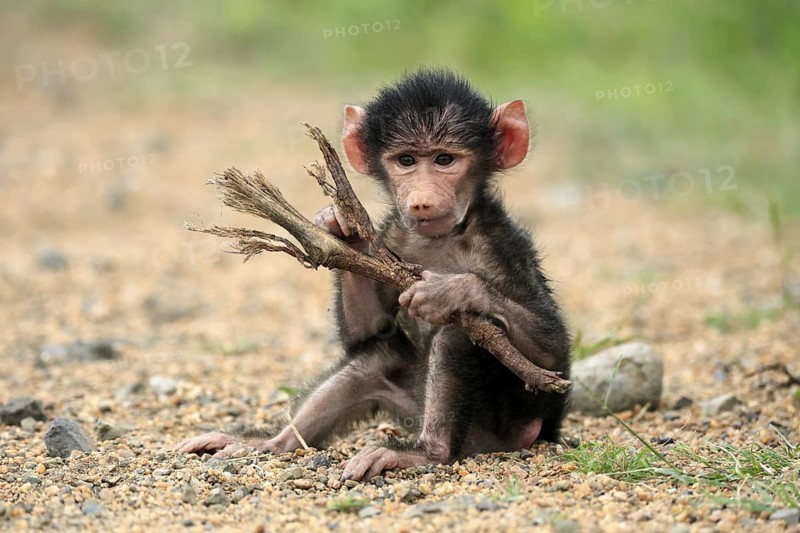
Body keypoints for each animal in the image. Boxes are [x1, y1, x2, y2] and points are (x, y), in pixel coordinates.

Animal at [175, 68, 571, 481]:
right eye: (406, 160)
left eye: (445, 159)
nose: (422, 200)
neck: (442, 239)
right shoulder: (392, 237)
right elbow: (370, 332)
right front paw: (339, 230)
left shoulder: (501, 247)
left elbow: (552, 356)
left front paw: (452, 291)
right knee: (374, 359)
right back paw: (270, 443)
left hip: (507, 425)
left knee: (456, 336)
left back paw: (427, 454)